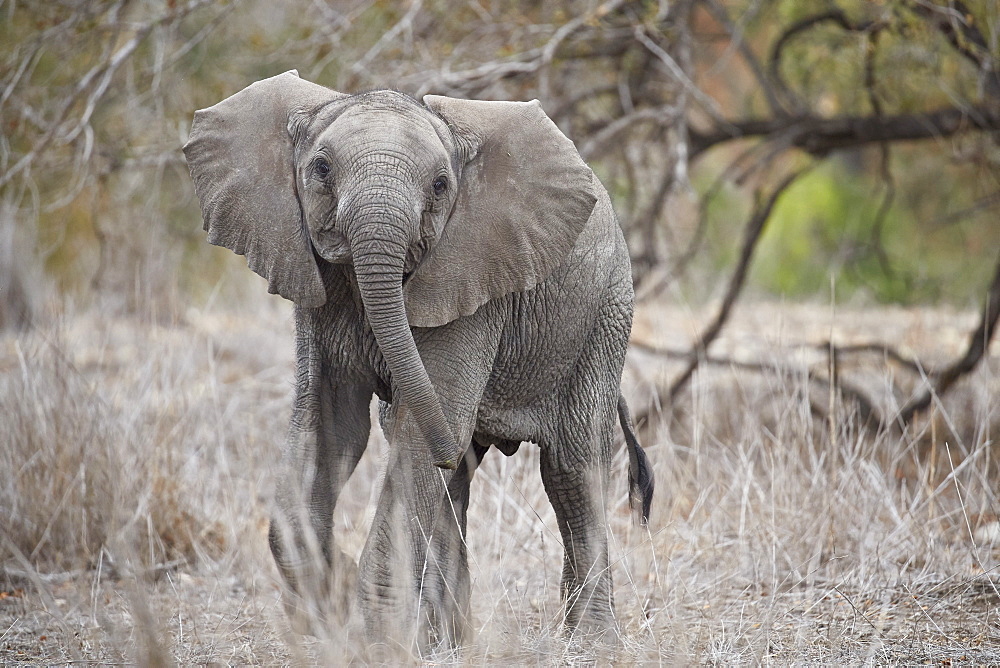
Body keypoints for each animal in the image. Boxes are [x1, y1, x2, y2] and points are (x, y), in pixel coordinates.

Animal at [183, 72, 652, 652]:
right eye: (321, 168)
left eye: (440, 185)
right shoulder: (314, 290)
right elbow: (332, 429)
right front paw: (333, 602)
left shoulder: (473, 279)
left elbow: (417, 440)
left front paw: (375, 639)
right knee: (458, 477)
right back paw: (449, 642)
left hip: (604, 315)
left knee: (568, 465)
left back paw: (589, 643)